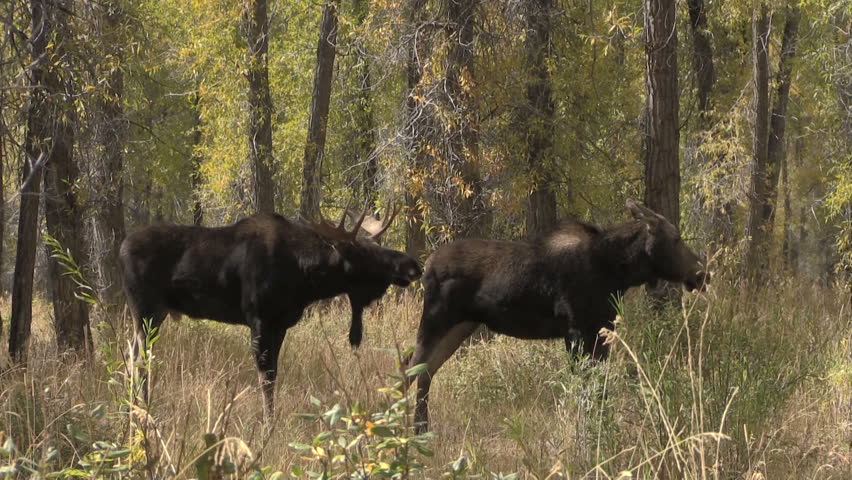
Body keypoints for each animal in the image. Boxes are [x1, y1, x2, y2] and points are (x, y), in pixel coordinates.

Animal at [120, 206, 422, 420]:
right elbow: (266, 377)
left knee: (131, 354)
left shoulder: (280, 324)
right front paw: (267, 423)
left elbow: (274, 374)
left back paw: (132, 407)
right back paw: (143, 409)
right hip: (145, 309)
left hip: (154, 314)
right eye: (365, 253)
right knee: (140, 359)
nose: (413, 265)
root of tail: (120, 249)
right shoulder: (259, 319)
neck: (305, 280)